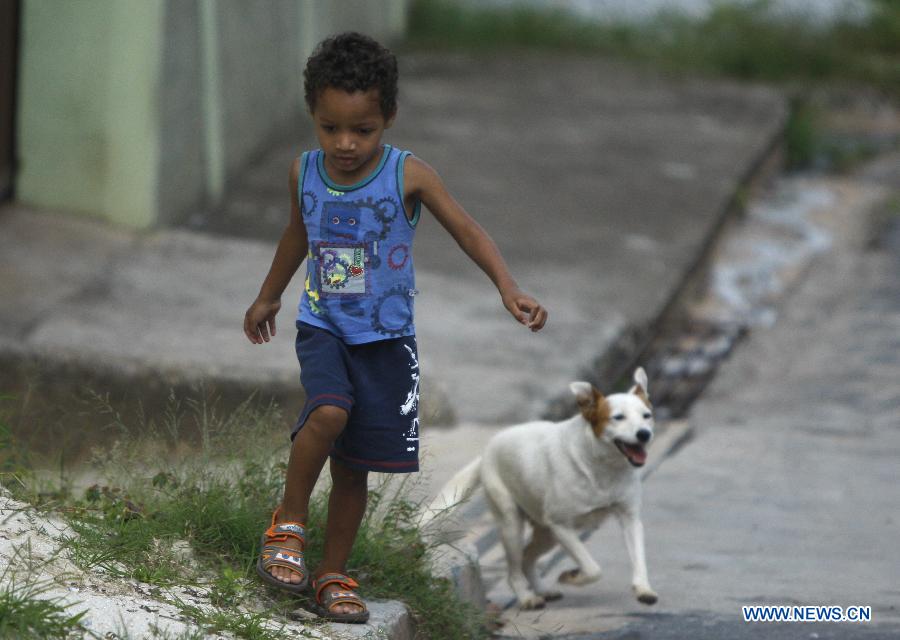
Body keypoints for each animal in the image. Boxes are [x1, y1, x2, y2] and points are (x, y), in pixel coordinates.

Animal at [418, 368, 656, 608]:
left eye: (647, 415)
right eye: (618, 417)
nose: (644, 434)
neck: (601, 466)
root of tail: (486, 451)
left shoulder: (629, 519)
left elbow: (638, 558)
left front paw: (643, 589)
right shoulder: (561, 525)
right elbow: (593, 568)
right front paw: (573, 576)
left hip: (546, 533)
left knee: (526, 558)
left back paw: (542, 589)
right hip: (512, 524)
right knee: (514, 568)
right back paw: (527, 597)